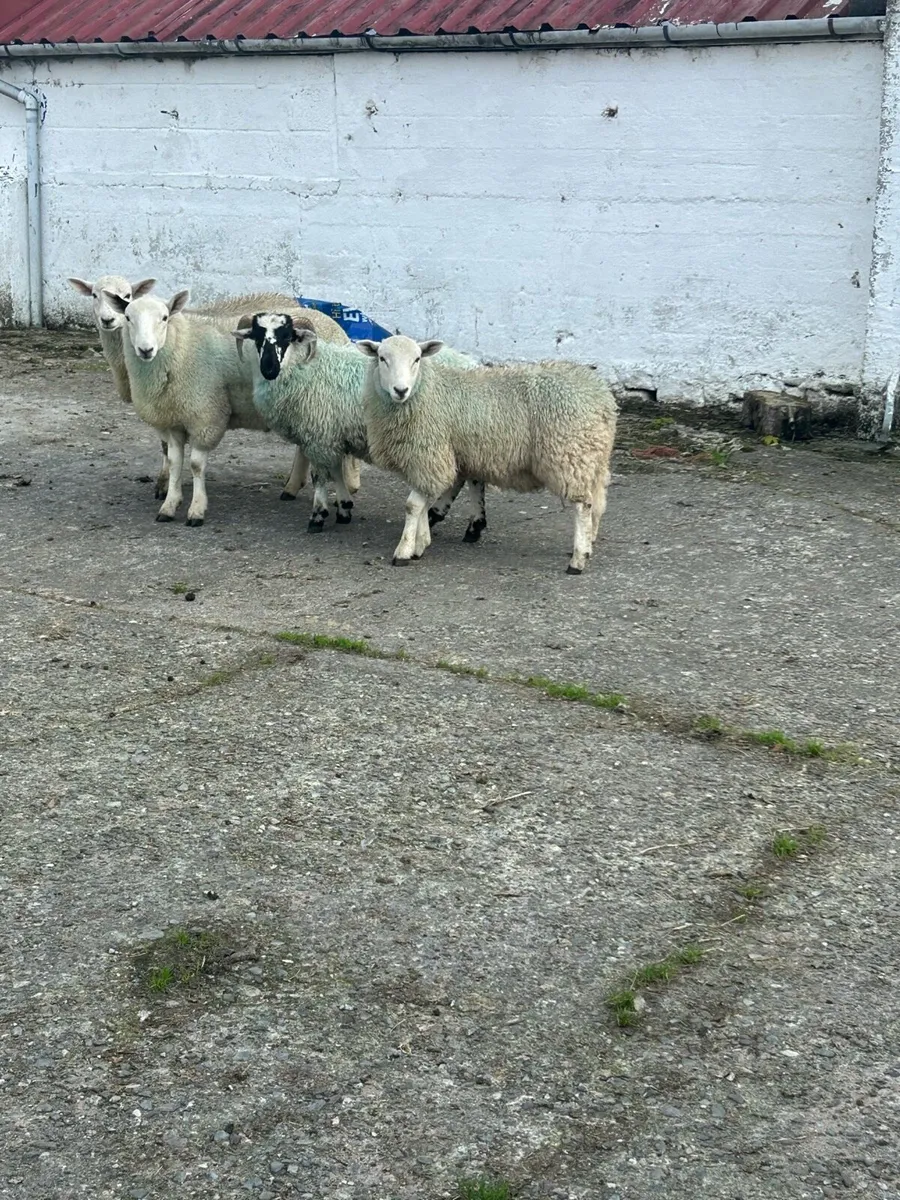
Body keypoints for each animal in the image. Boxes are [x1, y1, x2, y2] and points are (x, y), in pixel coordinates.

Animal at [69, 277, 358, 503]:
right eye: (94, 295)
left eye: (164, 317)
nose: (108, 320)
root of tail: (328, 321)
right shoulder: (165, 409)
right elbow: (170, 452)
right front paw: (168, 487)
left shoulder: (200, 410)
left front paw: (168, 489)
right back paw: (292, 487)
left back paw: (346, 485)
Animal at [232, 312, 487, 537]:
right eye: (257, 336)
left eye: (287, 336)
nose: (269, 368)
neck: (306, 367)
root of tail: (473, 365)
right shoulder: (332, 435)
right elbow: (336, 471)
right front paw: (344, 508)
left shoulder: (319, 434)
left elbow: (319, 476)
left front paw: (318, 516)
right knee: (470, 476)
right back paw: (457, 521)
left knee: (470, 479)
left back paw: (462, 521)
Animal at [358, 335, 617, 574]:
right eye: (382, 358)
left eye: (417, 359)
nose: (400, 390)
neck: (427, 391)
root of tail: (602, 398)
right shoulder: (427, 461)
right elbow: (423, 503)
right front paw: (420, 544)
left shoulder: (429, 457)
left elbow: (413, 506)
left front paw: (404, 551)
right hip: (592, 455)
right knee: (598, 499)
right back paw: (589, 543)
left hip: (569, 455)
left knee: (583, 505)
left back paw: (578, 560)